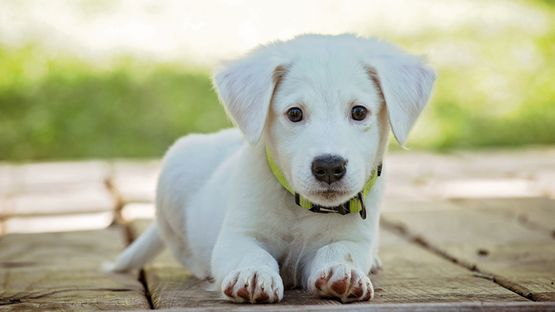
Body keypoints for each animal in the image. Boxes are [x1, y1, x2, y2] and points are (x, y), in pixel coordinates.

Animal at [113, 33, 434, 302]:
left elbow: (339, 250)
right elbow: (252, 253)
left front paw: (343, 271)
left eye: (359, 112)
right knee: (183, 250)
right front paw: (254, 274)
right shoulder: (237, 235)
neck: (302, 208)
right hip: (175, 173)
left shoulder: (354, 239)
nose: (329, 167)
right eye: (294, 114)